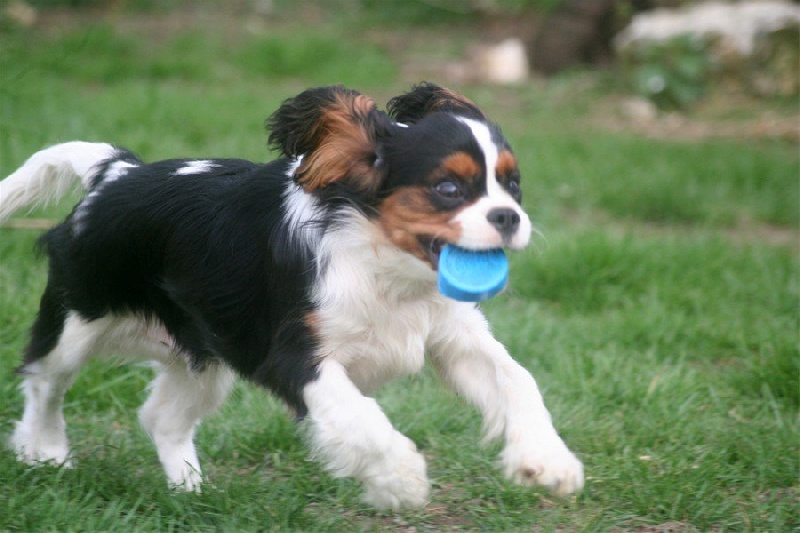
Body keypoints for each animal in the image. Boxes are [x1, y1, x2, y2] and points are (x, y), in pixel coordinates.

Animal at [3, 82, 584, 508]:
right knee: (44, 382)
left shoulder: (454, 335)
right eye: (449, 189)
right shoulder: (297, 357)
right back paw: (46, 453)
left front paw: (548, 462)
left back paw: (191, 491)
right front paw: (401, 481)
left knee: (162, 418)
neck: (387, 267)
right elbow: (364, 419)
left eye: (513, 185)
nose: (509, 217)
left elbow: (517, 381)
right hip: (77, 318)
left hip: (205, 357)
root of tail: (118, 172)